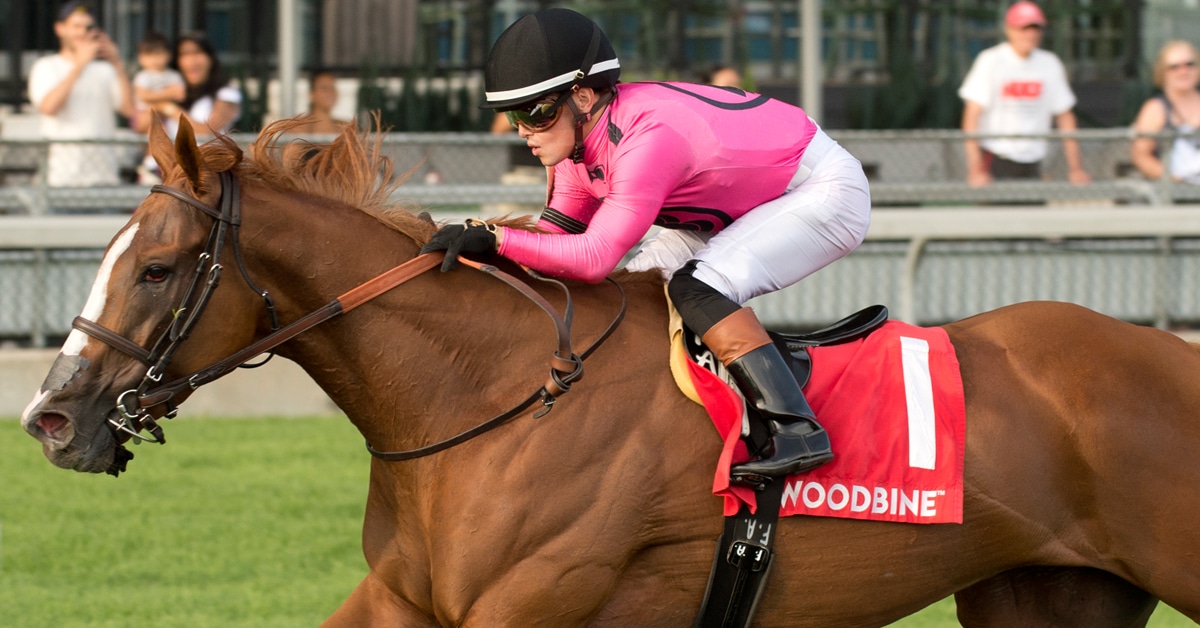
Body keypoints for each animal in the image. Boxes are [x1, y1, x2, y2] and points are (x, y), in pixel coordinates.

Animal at [20, 116, 1200, 627]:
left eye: (158, 267)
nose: (49, 417)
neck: (486, 395)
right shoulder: (406, 600)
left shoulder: (530, 608)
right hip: (1050, 595)